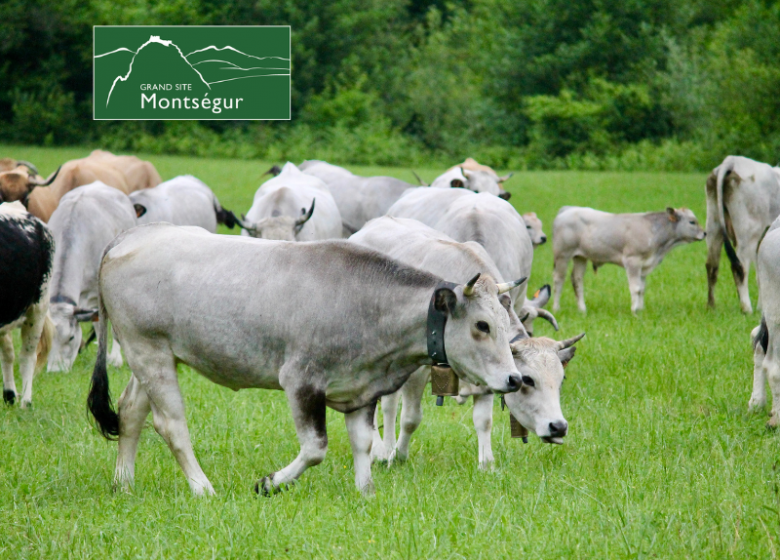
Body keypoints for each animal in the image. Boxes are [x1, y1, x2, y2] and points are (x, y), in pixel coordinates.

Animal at [556, 207, 708, 316]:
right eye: (692, 221)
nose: (705, 233)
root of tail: (568, 209)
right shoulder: (632, 261)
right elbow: (635, 288)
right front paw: (634, 311)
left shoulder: (644, 266)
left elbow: (642, 289)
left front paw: (640, 310)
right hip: (562, 255)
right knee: (559, 280)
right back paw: (556, 308)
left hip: (580, 257)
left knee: (577, 280)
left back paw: (582, 310)